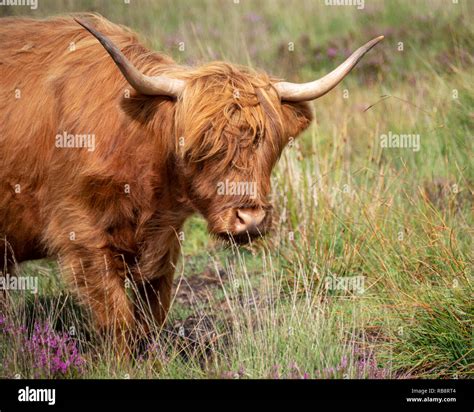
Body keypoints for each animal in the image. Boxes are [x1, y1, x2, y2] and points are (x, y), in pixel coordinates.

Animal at [0, 12, 382, 350]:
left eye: (269, 144)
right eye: (201, 147)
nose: (251, 220)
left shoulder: (164, 241)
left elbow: (151, 313)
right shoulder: (82, 233)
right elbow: (118, 320)